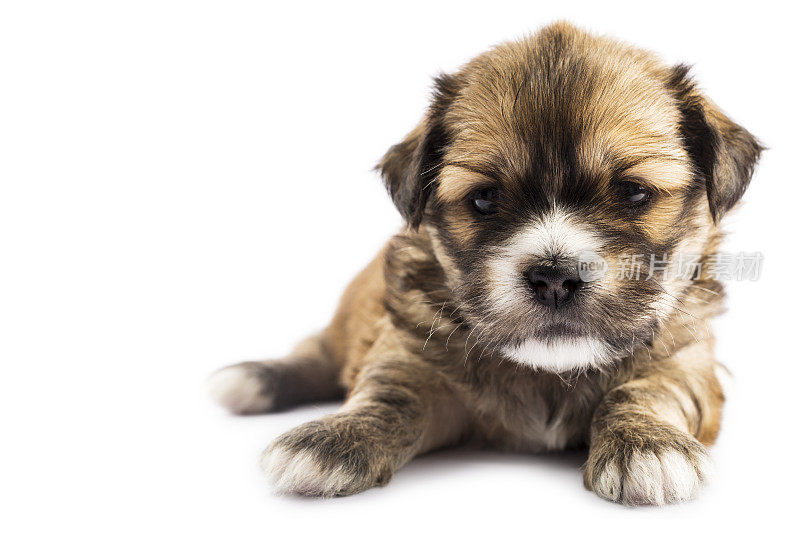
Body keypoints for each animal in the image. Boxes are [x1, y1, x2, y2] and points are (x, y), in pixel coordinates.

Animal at [208, 21, 764, 502]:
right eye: (484, 199)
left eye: (633, 192)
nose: (555, 277)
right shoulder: (411, 352)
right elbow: (390, 393)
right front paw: (336, 439)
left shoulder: (689, 360)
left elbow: (651, 390)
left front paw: (650, 445)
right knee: (316, 351)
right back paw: (254, 380)